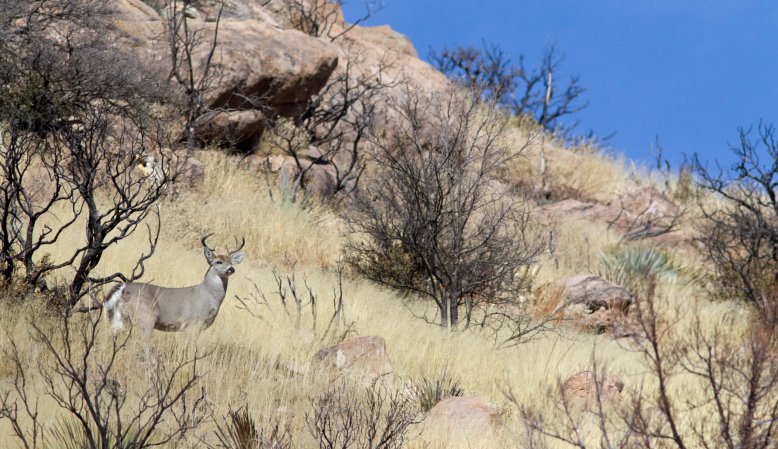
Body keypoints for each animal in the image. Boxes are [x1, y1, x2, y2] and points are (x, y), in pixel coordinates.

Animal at [101, 233, 244, 352]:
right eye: (218, 262)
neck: (209, 296)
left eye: (230, 262)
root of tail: (124, 287)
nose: (231, 269)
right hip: (147, 316)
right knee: (142, 342)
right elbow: (191, 348)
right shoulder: (193, 323)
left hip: (120, 317)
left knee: (111, 334)